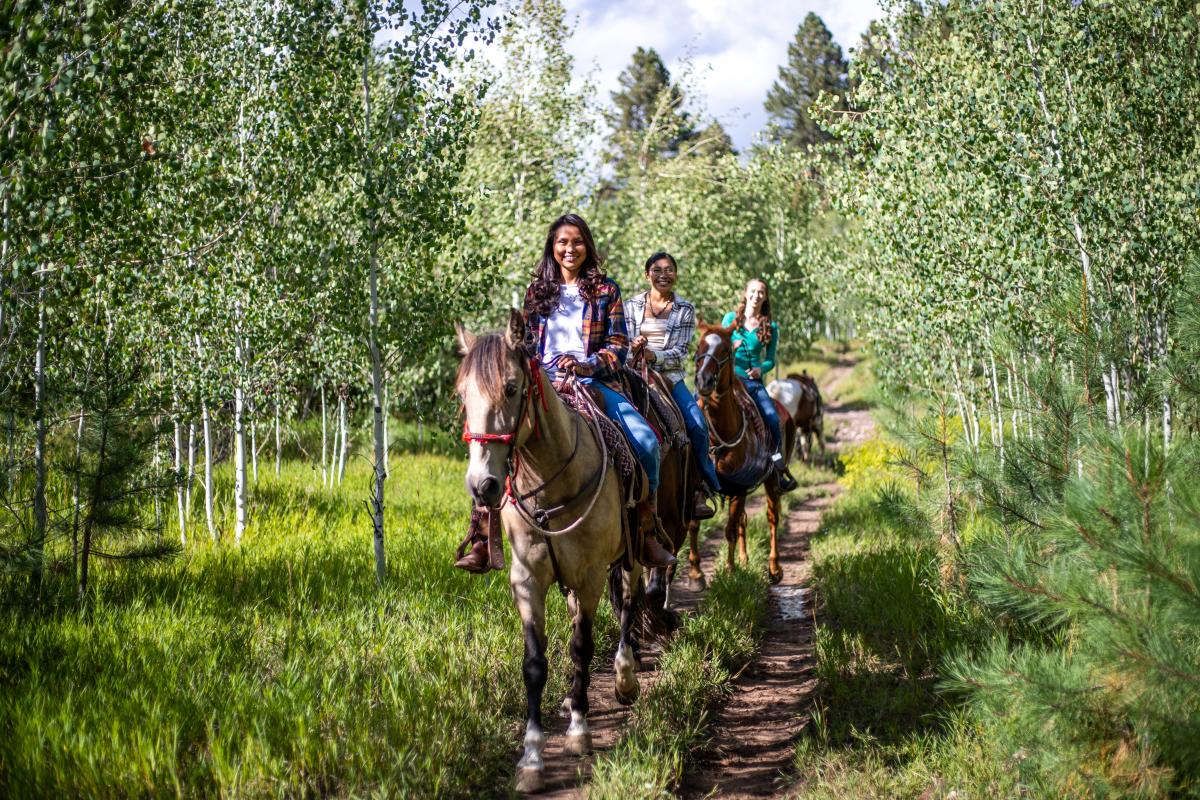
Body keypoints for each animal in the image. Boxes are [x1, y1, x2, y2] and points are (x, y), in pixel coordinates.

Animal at [453, 311, 648, 796]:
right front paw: (532, 758)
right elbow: (534, 664)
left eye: (511, 388)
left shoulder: (592, 574)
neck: (551, 480)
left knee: (628, 606)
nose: (482, 485)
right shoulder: (527, 580)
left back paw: (625, 677)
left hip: (633, 554)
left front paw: (579, 732)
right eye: (462, 395)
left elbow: (581, 646)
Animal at [696, 321, 796, 585]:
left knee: (772, 517)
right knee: (744, 519)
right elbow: (695, 524)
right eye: (698, 347)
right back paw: (744, 559)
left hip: (771, 480)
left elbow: (730, 528)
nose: (703, 381)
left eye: (725, 350)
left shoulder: (739, 487)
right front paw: (697, 572)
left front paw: (730, 571)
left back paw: (774, 568)